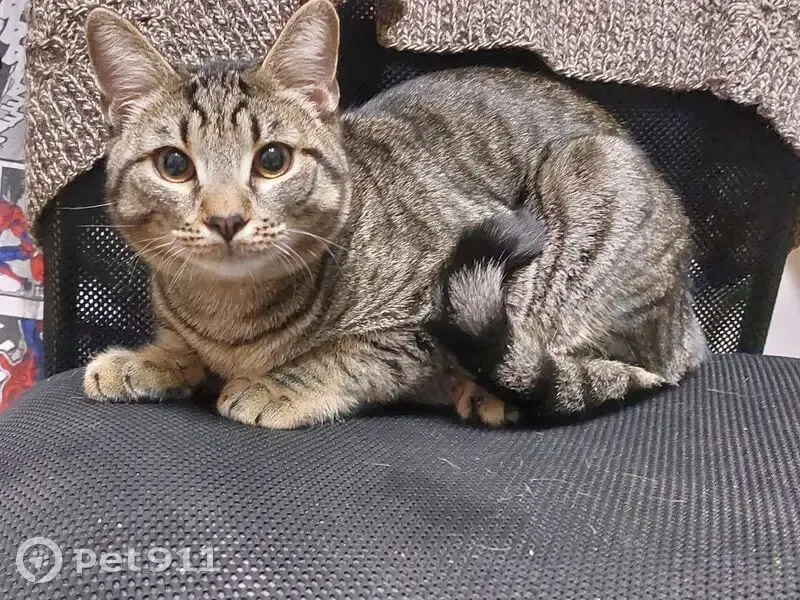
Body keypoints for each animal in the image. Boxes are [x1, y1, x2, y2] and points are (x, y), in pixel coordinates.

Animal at [81, 0, 707, 429]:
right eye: (173, 164)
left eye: (273, 160)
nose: (227, 219)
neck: (228, 315)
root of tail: (686, 326)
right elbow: (183, 348)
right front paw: (147, 361)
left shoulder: (430, 303)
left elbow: (350, 355)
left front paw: (278, 384)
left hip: (585, 183)